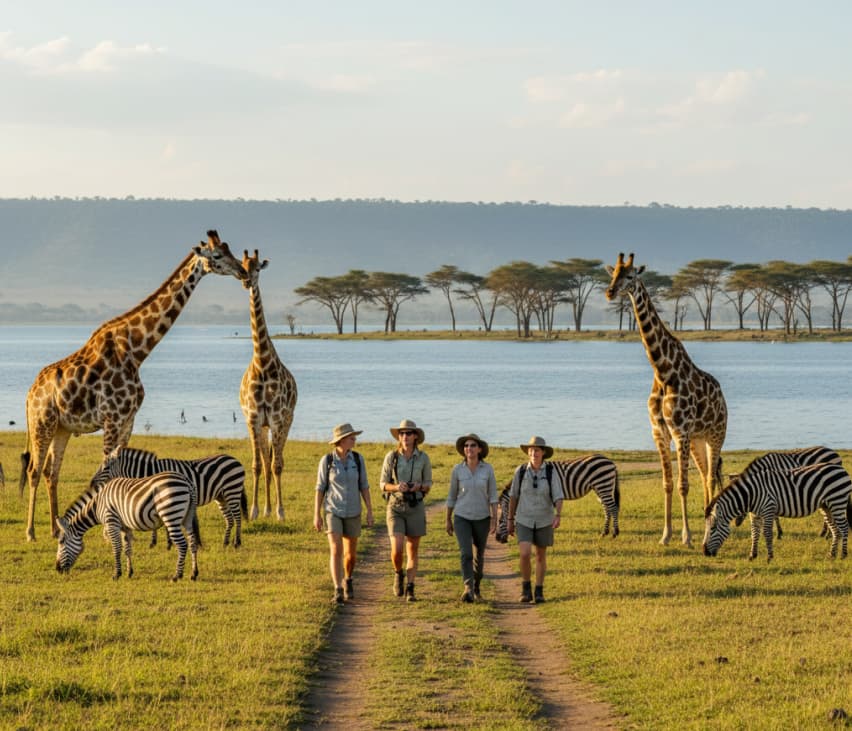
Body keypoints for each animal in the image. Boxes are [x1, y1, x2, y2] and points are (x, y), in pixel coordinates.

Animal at [21, 230, 247, 541]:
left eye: (229, 249)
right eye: (217, 255)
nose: (243, 271)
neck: (136, 351)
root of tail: (30, 393)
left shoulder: (128, 419)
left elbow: (123, 472)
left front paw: (128, 529)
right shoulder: (112, 418)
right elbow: (106, 470)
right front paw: (110, 531)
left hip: (62, 428)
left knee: (51, 472)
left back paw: (56, 528)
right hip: (42, 423)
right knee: (34, 470)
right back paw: (31, 532)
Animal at [605, 252, 727, 547]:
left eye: (630, 275)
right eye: (612, 273)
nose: (610, 292)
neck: (662, 371)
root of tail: (722, 396)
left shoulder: (680, 432)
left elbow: (683, 485)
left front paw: (687, 537)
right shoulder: (659, 431)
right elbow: (668, 483)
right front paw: (666, 535)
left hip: (716, 435)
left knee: (709, 479)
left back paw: (707, 529)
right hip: (698, 440)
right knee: (705, 476)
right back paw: (706, 523)